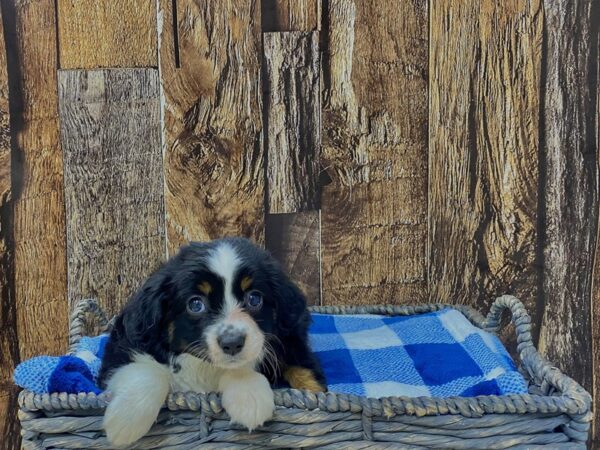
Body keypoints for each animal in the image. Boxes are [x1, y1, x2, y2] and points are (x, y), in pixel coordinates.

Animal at [98, 239, 326, 446]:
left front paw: (250, 399)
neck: (202, 364)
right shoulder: (122, 349)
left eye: (254, 299)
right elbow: (147, 371)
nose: (232, 343)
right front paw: (126, 420)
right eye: (195, 304)